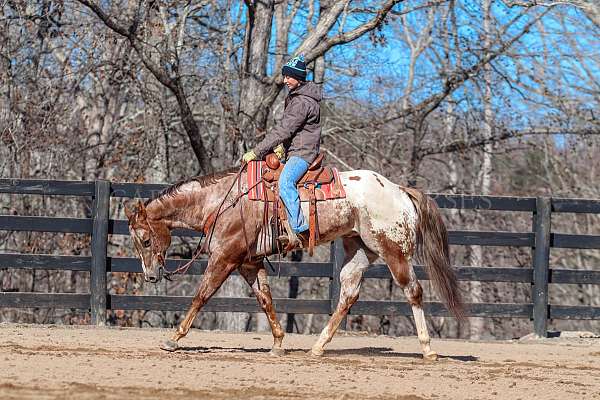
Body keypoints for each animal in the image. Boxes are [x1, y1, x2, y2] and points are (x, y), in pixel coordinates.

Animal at [124, 166, 464, 360]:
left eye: (145, 240)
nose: (151, 276)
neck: (222, 201)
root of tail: (399, 190)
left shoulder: (225, 257)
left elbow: (202, 295)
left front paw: (173, 339)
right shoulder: (248, 263)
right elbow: (265, 299)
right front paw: (277, 342)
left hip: (394, 252)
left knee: (413, 291)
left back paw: (428, 349)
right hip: (359, 249)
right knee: (348, 294)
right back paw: (318, 347)